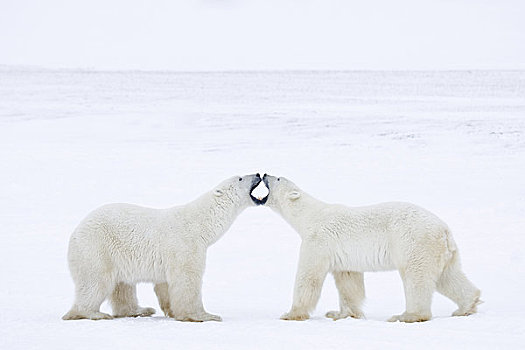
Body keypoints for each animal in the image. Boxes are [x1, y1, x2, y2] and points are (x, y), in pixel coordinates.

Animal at [63, 174, 264, 322]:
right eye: (240, 178)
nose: (257, 174)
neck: (200, 224)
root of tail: (74, 233)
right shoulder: (185, 245)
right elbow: (187, 280)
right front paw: (205, 315)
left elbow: (165, 284)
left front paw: (172, 310)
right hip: (96, 248)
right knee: (95, 282)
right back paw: (93, 313)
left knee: (123, 286)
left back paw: (141, 310)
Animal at [262, 174, 478, 322]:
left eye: (278, 178)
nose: (264, 174)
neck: (309, 216)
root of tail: (444, 229)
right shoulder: (343, 255)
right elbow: (348, 282)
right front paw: (340, 313)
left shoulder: (318, 241)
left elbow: (308, 277)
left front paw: (290, 313)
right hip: (441, 250)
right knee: (448, 277)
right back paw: (467, 306)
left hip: (414, 242)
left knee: (416, 277)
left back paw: (407, 315)